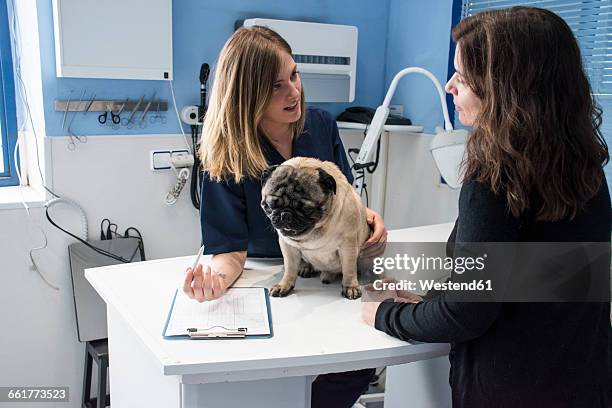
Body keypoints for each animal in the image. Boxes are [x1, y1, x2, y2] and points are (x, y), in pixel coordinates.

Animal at [262, 157, 370, 300]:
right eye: (271, 206)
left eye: (307, 209)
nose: (285, 215)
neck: (316, 230)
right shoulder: (288, 247)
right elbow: (290, 268)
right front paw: (284, 285)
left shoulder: (348, 245)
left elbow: (349, 269)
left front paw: (350, 287)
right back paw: (306, 268)